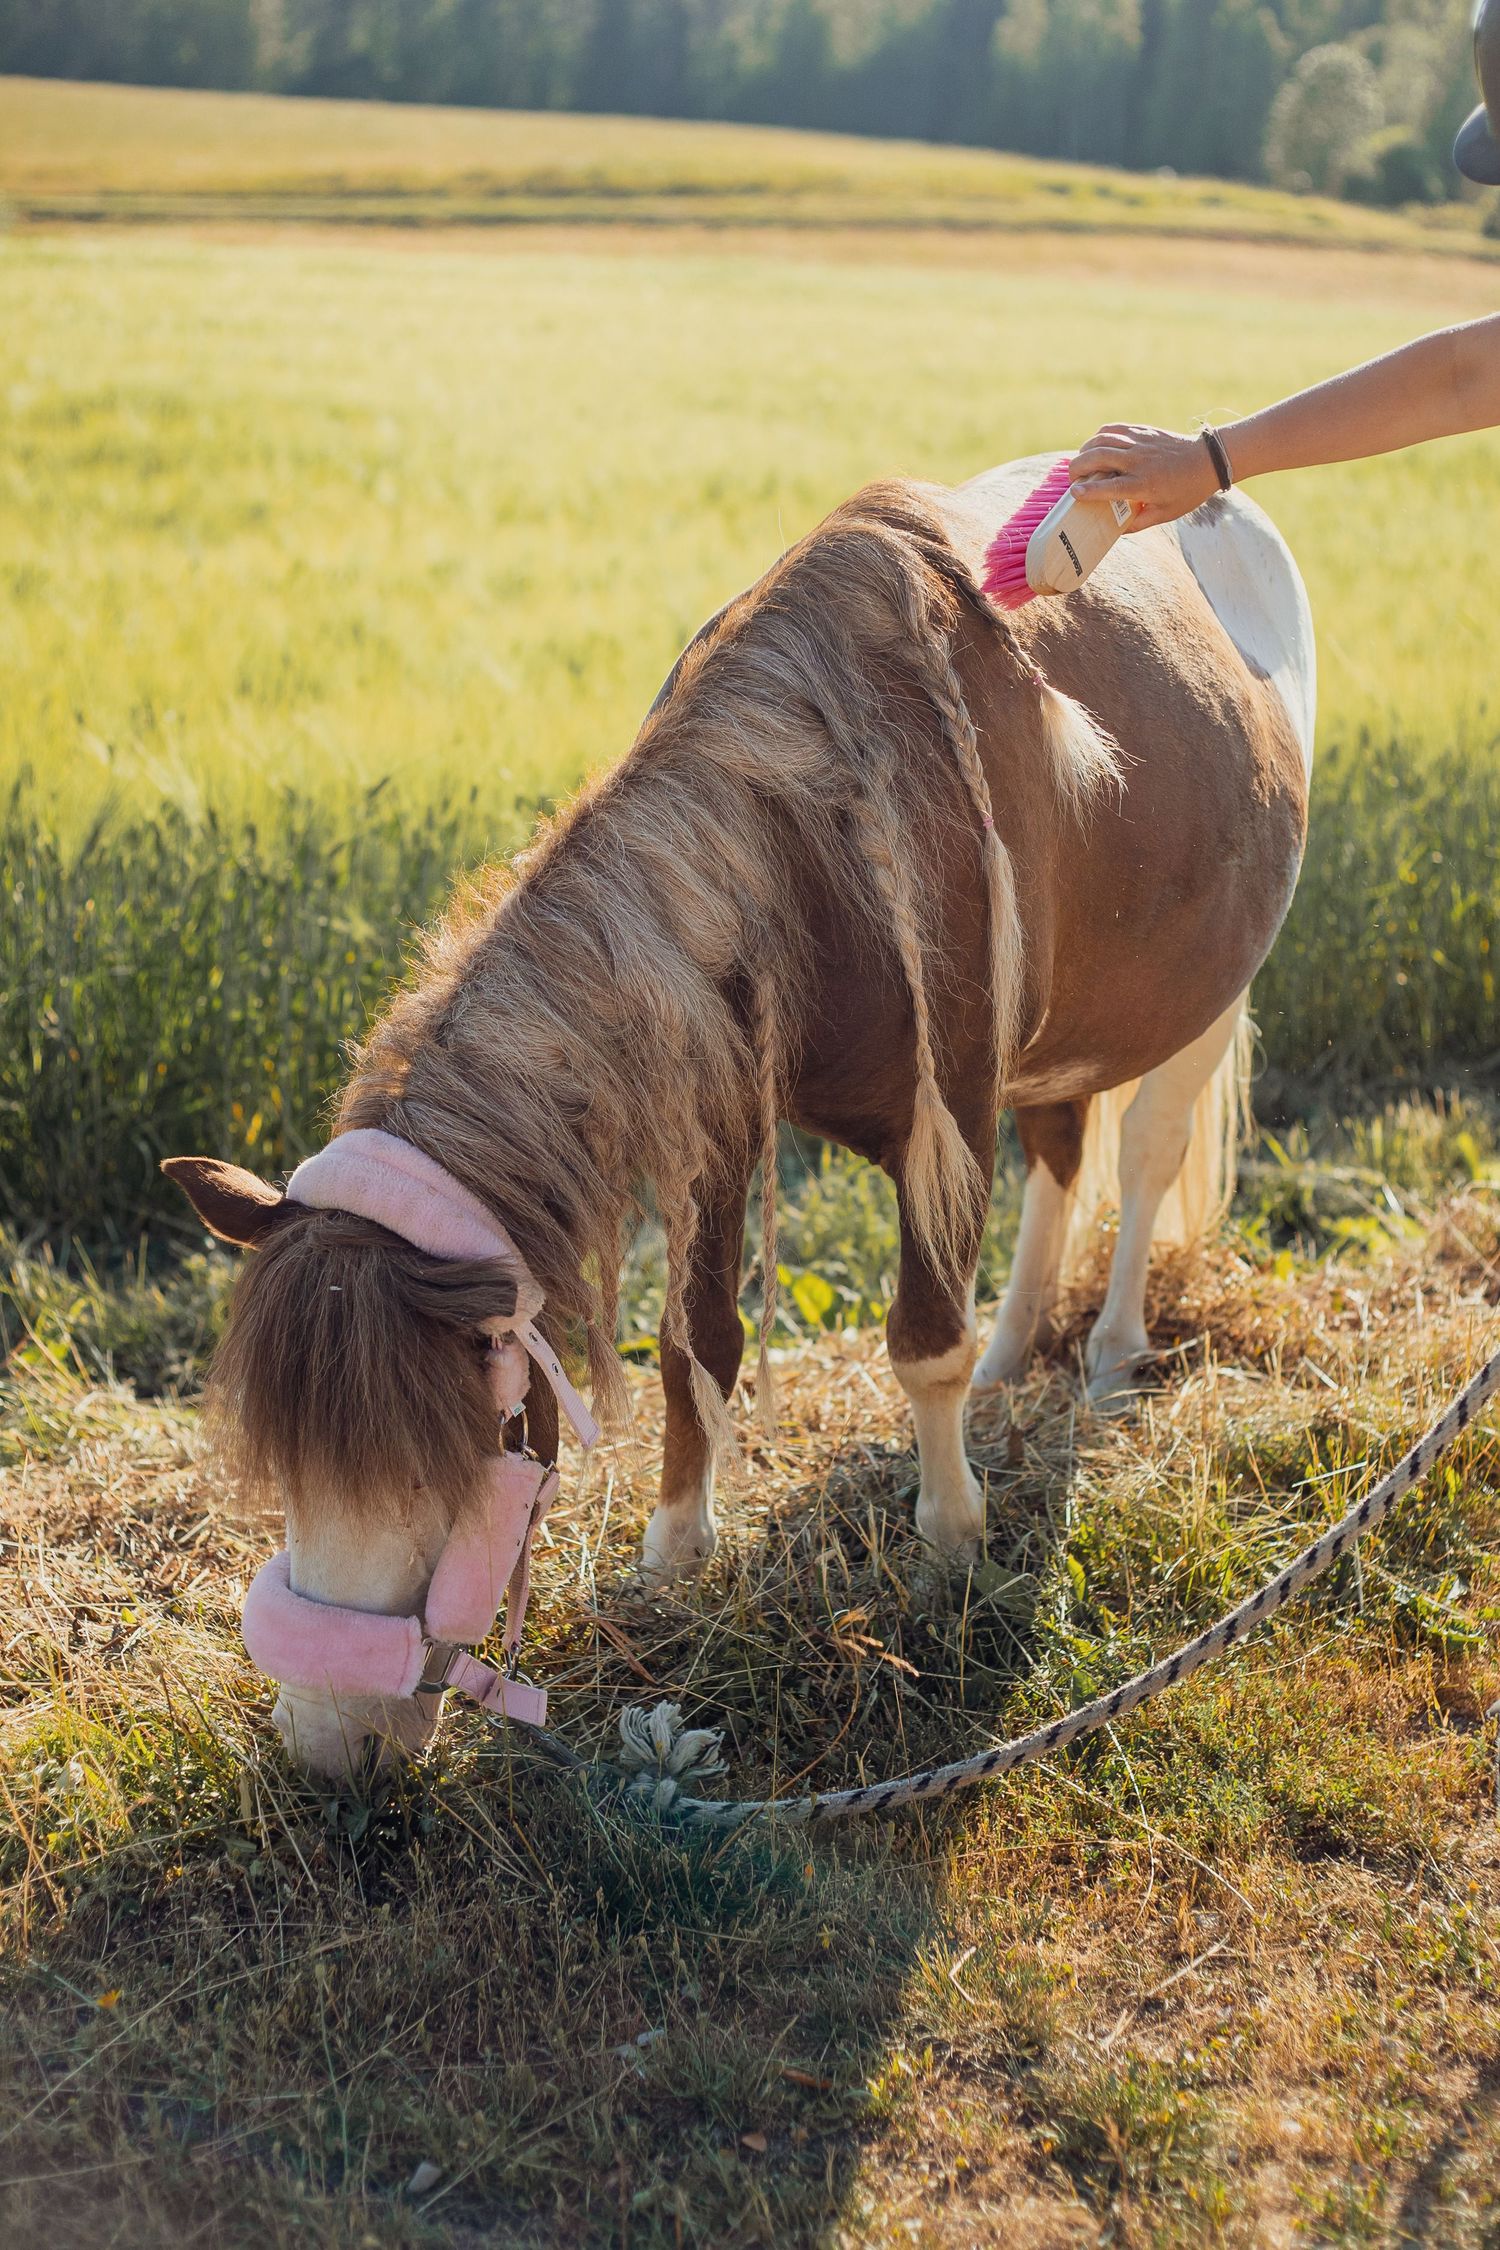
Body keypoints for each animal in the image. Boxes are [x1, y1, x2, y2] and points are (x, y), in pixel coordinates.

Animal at [166, 458, 1314, 1778]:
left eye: (468, 1437)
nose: (320, 1733)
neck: (811, 836)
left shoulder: (951, 1112)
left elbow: (923, 1339)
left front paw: (949, 1541)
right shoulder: (718, 1110)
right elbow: (692, 1341)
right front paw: (673, 1555)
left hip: (1199, 1007)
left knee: (1143, 1157)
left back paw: (1114, 1357)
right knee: (1063, 1161)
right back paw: (1018, 1352)